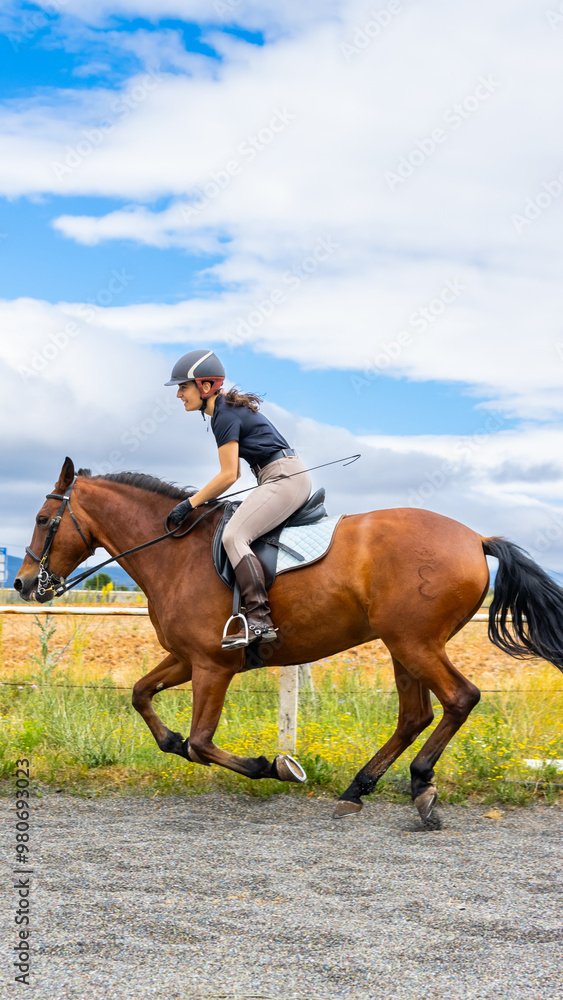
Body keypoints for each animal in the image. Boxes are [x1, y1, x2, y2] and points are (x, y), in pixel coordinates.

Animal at [15, 457, 563, 827]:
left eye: (42, 520)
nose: (22, 585)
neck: (175, 553)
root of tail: (475, 538)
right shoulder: (186, 658)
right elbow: (142, 698)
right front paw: (173, 740)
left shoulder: (213, 666)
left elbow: (200, 743)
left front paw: (275, 766)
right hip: (402, 645)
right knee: (415, 715)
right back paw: (359, 788)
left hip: (415, 642)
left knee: (459, 698)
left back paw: (420, 783)